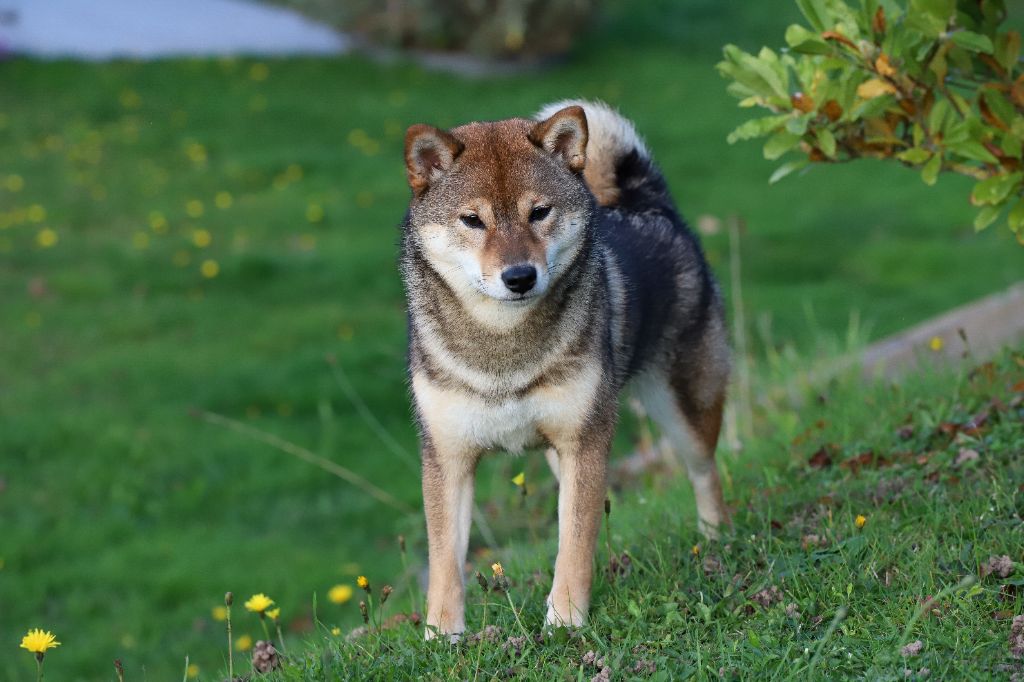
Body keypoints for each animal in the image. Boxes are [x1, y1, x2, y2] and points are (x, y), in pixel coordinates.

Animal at [397, 98, 729, 634]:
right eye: (472, 220)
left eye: (539, 212)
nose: (519, 276)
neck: (503, 350)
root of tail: (650, 207)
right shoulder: (448, 456)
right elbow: (446, 560)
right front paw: (442, 634)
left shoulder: (585, 442)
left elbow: (574, 543)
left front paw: (566, 621)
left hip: (685, 415)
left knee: (706, 474)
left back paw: (716, 541)